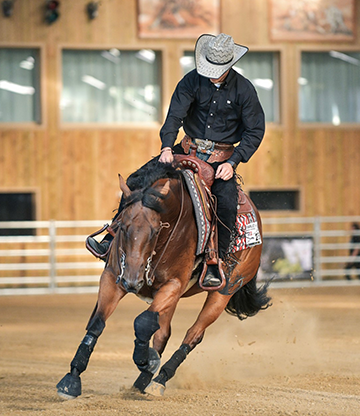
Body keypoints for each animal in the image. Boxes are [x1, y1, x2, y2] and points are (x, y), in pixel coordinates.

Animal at [56, 160, 270, 400]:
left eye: (156, 230)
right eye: (122, 226)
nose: (132, 281)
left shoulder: (172, 286)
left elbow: (142, 323)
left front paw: (146, 360)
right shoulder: (112, 277)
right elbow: (97, 322)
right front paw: (72, 378)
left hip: (222, 294)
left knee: (193, 335)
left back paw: (159, 379)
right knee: (162, 333)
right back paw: (142, 382)